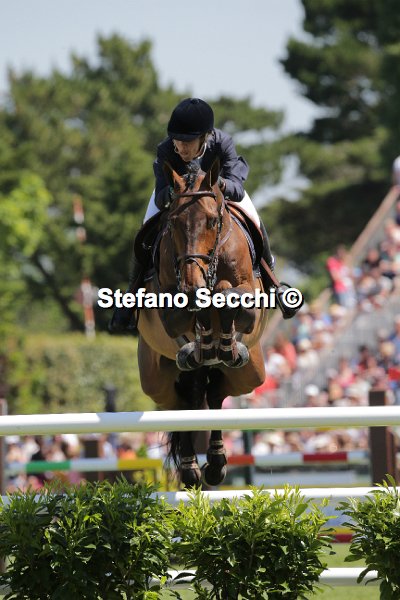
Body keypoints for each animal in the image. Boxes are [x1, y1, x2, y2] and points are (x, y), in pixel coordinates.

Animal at [137, 159, 268, 487]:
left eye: (211, 222)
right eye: (173, 223)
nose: (191, 284)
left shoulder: (251, 306)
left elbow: (226, 293)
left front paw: (218, 336)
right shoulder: (171, 313)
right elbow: (200, 307)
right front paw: (204, 333)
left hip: (250, 375)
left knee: (214, 394)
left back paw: (216, 463)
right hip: (155, 380)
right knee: (182, 404)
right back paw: (190, 468)